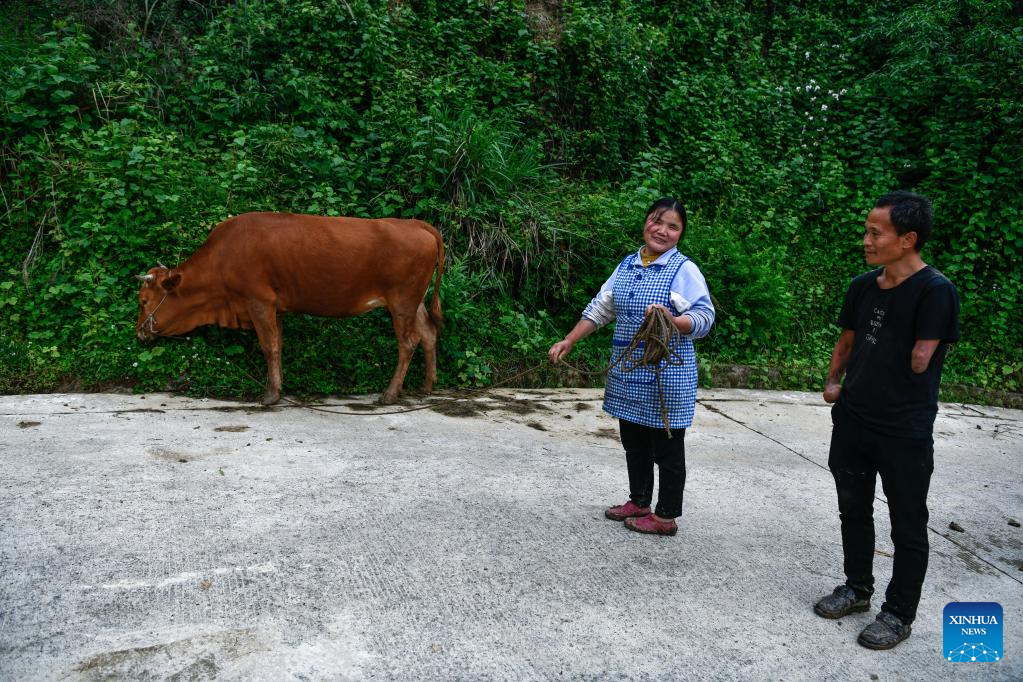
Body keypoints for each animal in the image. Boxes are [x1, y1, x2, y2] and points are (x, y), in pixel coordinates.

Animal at [134, 211, 441, 404]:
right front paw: (279, 388)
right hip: (414, 301)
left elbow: (268, 347)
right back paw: (426, 386)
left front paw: (270, 395)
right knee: (428, 334)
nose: (138, 332)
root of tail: (416, 224)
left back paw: (390, 394)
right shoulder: (275, 308)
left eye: (144, 300)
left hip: (402, 299)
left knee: (408, 341)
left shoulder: (259, 301)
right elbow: (278, 345)